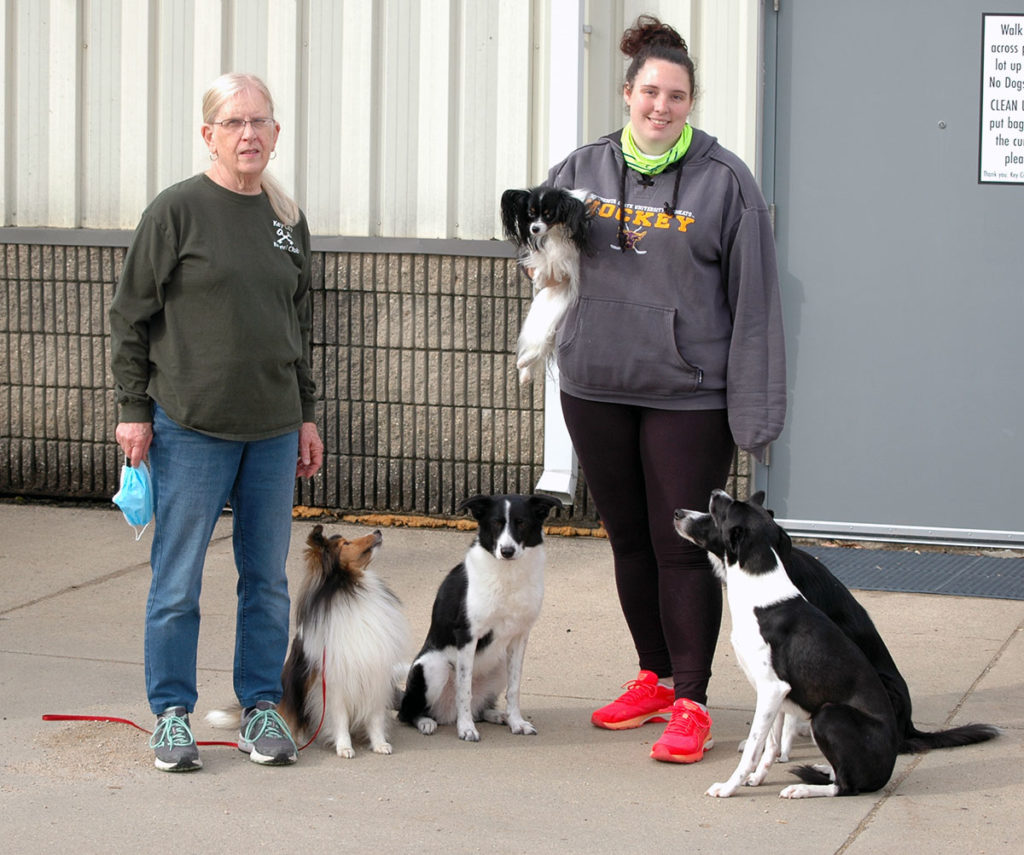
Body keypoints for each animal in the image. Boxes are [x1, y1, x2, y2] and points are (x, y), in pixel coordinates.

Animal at [205, 524, 409, 757]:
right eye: (346, 543)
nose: (377, 531)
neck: (353, 590)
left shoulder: (375, 671)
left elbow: (375, 717)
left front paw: (379, 743)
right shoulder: (333, 681)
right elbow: (339, 717)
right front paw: (344, 747)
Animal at [499, 189, 598, 387]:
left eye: (548, 214)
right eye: (530, 213)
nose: (534, 229)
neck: (554, 232)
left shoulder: (569, 250)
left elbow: (557, 257)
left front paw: (548, 273)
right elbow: (543, 257)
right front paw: (540, 276)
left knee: (542, 346)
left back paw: (525, 364)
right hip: (540, 316)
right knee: (537, 342)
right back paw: (524, 370)